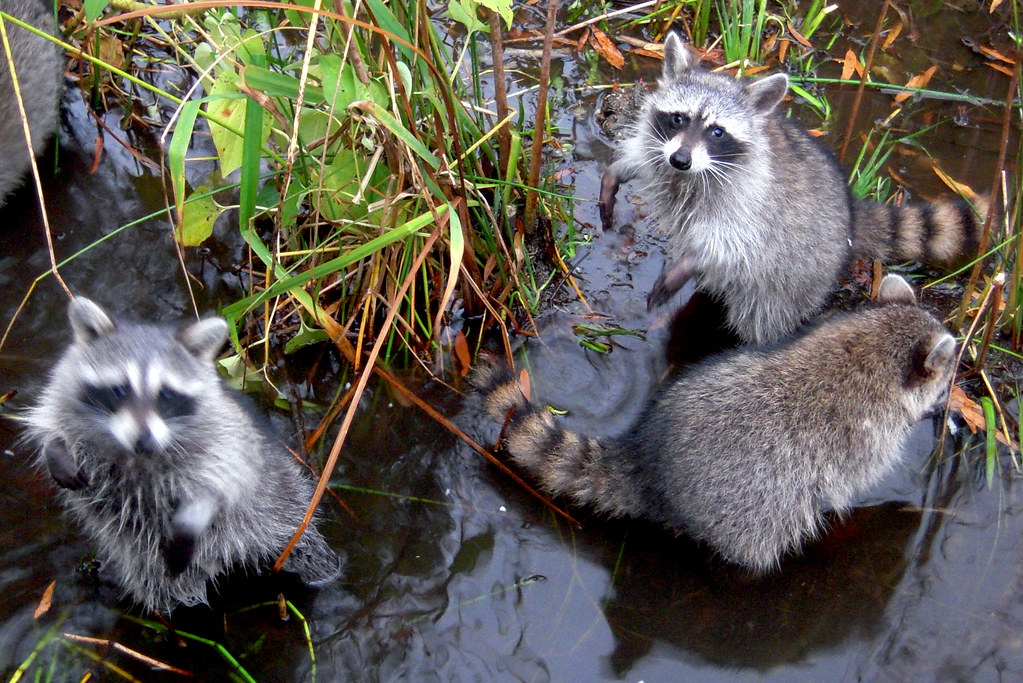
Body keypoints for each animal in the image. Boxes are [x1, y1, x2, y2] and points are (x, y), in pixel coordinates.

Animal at [22, 298, 343, 613]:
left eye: (165, 394)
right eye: (119, 389)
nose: (142, 438)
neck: (135, 455)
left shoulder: (225, 437)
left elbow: (226, 477)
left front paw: (193, 515)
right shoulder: (65, 397)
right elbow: (50, 424)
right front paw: (55, 448)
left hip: (283, 509)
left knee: (305, 549)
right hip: (151, 569)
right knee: (165, 593)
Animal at [474, 275, 956, 572]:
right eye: (950, 372)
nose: (953, 393)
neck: (875, 342)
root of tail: (646, 461)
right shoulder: (866, 438)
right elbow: (846, 484)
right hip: (749, 508)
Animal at [599, 32, 989, 345]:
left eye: (717, 132)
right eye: (678, 118)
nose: (680, 160)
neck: (689, 175)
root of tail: (849, 217)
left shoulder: (749, 205)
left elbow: (725, 245)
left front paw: (687, 263)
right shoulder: (662, 147)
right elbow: (645, 158)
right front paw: (615, 173)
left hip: (793, 281)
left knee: (761, 319)